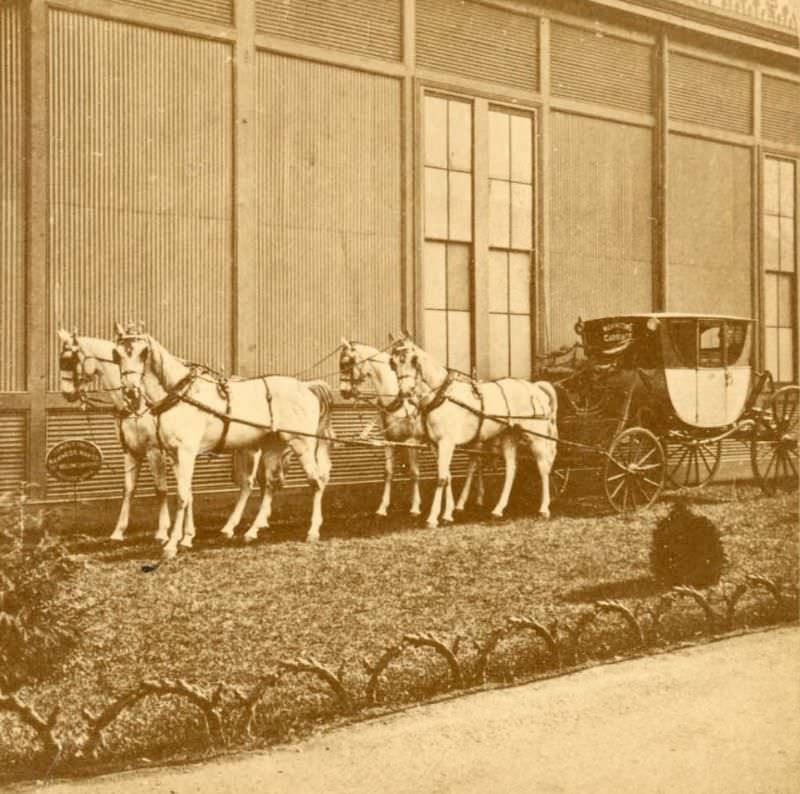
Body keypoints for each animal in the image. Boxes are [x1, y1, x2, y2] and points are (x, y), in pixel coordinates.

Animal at [112, 324, 332, 556]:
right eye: (117, 354)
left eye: (143, 352)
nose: (131, 391)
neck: (182, 395)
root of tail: (306, 388)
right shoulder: (174, 455)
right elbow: (186, 493)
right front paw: (184, 538)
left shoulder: (186, 452)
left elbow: (181, 496)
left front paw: (172, 544)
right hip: (273, 446)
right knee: (271, 483)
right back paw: (251, 531)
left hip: (302, 444)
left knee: (316, 482)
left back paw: (313, 530)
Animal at [390, 334, 556, 524]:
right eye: (392, 362)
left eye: (414, 359)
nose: (405, 392)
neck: (442, 396)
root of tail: (534, 388)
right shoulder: (435, 445)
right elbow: (447, 476)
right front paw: (447, 514)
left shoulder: (447, 443)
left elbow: (441, 478)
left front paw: (433, 518)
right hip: (509, 436)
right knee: (511, 470)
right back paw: (498, 509)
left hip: (537, 437)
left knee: (543, 467)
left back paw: (544, 508)